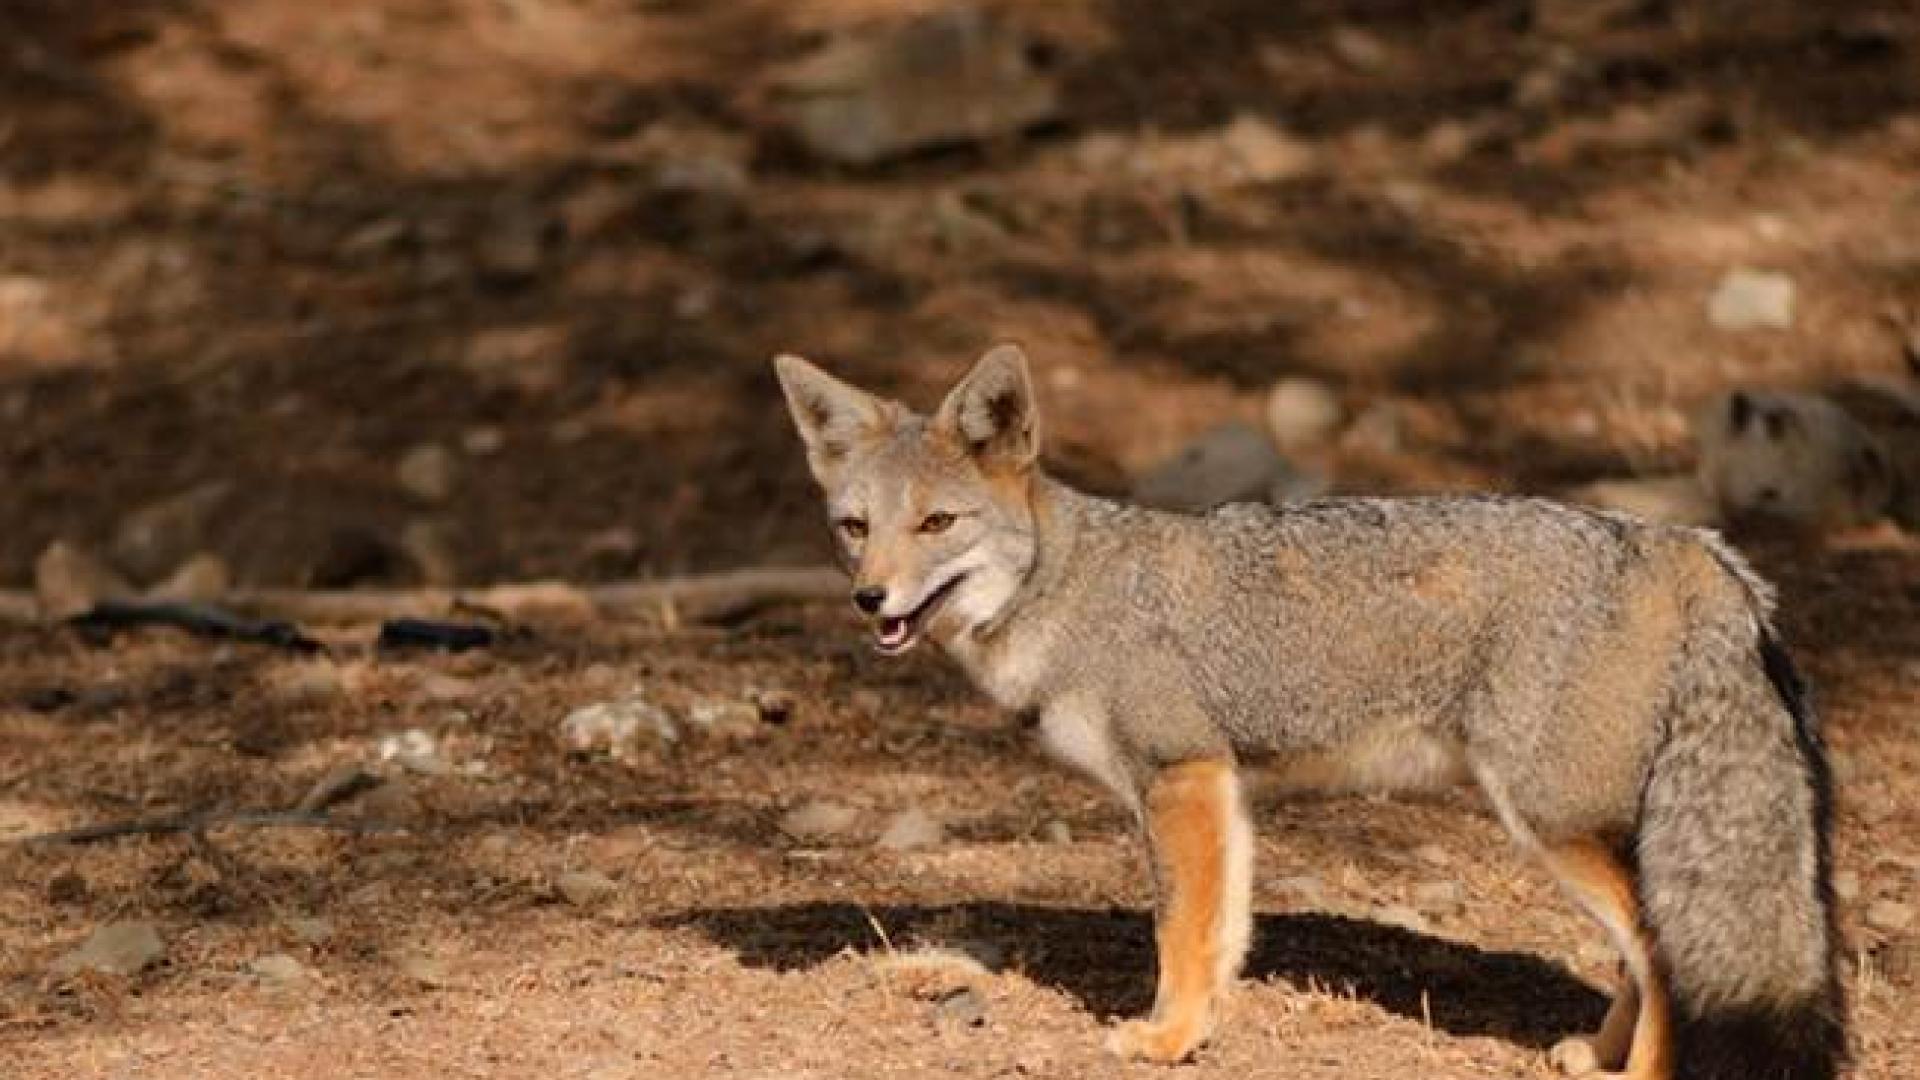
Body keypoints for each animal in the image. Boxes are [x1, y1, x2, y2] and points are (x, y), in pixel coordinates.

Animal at [775, 343, 1843, 1076]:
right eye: (855, 528)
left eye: (937, 523)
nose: (870, 599)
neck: (1067, 588)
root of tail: (1690, 544)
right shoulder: (1222, 787)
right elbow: (1221, 931)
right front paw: (1199, 1031)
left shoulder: (1178, 774)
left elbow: (1176, 929)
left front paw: (1163, 1038)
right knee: (1640, 951)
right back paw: (1597, 1051)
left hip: (1552, 820)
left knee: (1658, 951)